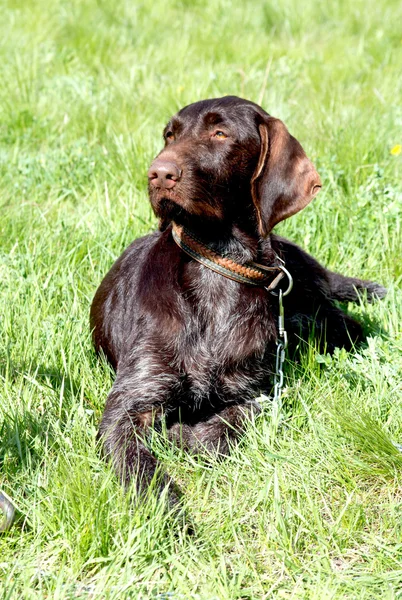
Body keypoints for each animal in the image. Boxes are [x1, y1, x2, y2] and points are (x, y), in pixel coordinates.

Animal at [89, 97, 384, 502]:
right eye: (170, 135)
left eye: (220, 133)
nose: (158, 173)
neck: (219, 265)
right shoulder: (128, 406)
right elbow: (145, 476)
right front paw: (171, 513)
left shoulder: (260, 388)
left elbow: (236, 419)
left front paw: (183, 435)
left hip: (328, 320)